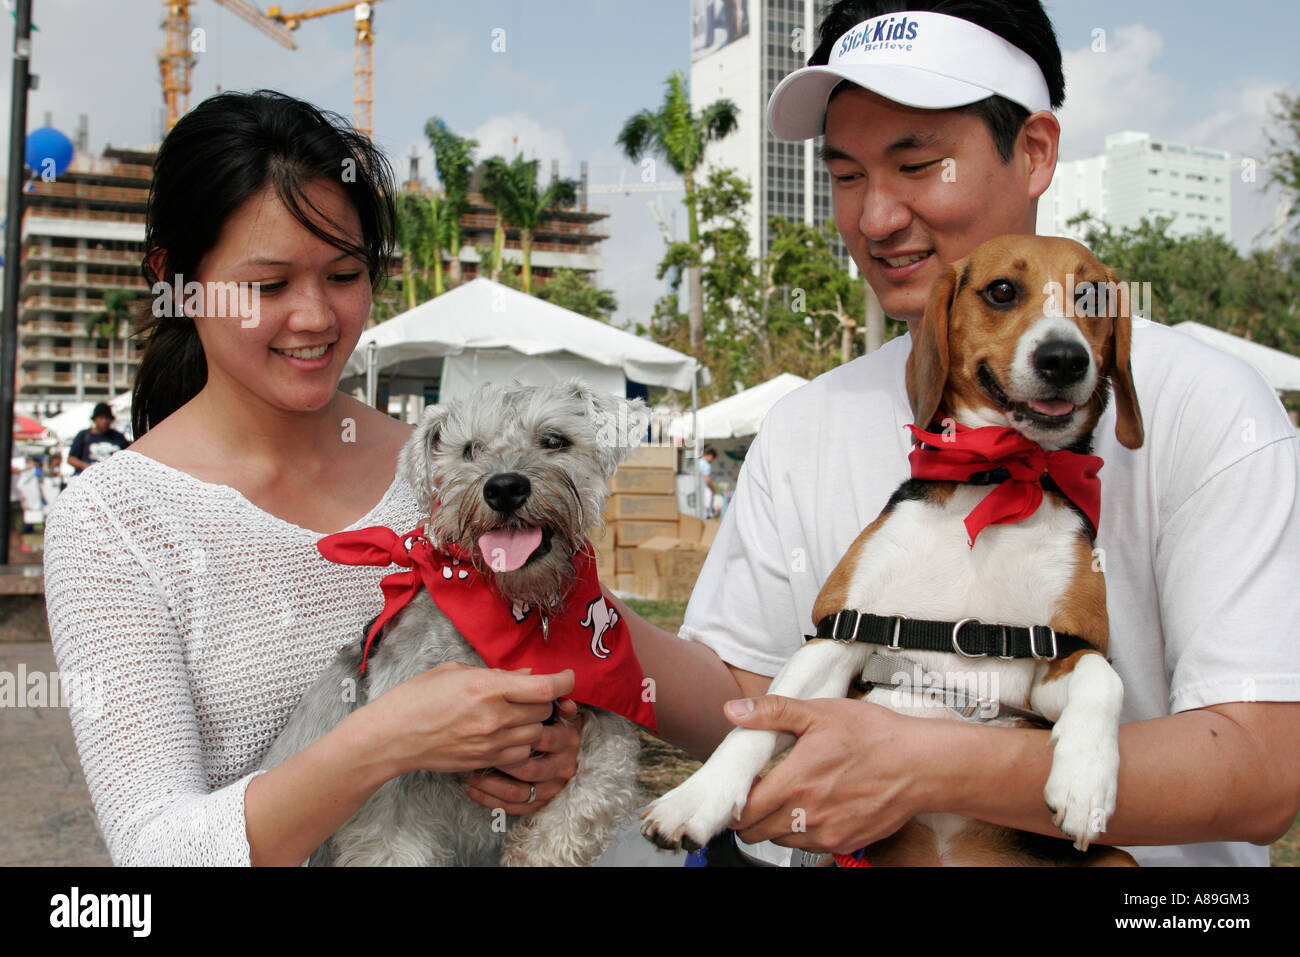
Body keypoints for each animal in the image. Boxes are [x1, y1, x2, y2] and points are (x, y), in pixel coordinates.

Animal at [258, 379, 650, 868]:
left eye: (554, 440)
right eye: (469, 449)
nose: (504, 487)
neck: (521, 607)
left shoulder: (604, 716)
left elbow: (596, 791)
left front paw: (535, 853)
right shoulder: (393, 770)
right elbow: (394, 844)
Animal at [644, 234, 1144, 868]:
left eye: (1093, 296)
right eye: (1003, 291)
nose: (1064, 358)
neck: (995, 480)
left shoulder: (1061, 658)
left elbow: (1105, 681)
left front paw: (1085, 783)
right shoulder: (843, 633)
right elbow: (755, 722)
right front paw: (696, 798)